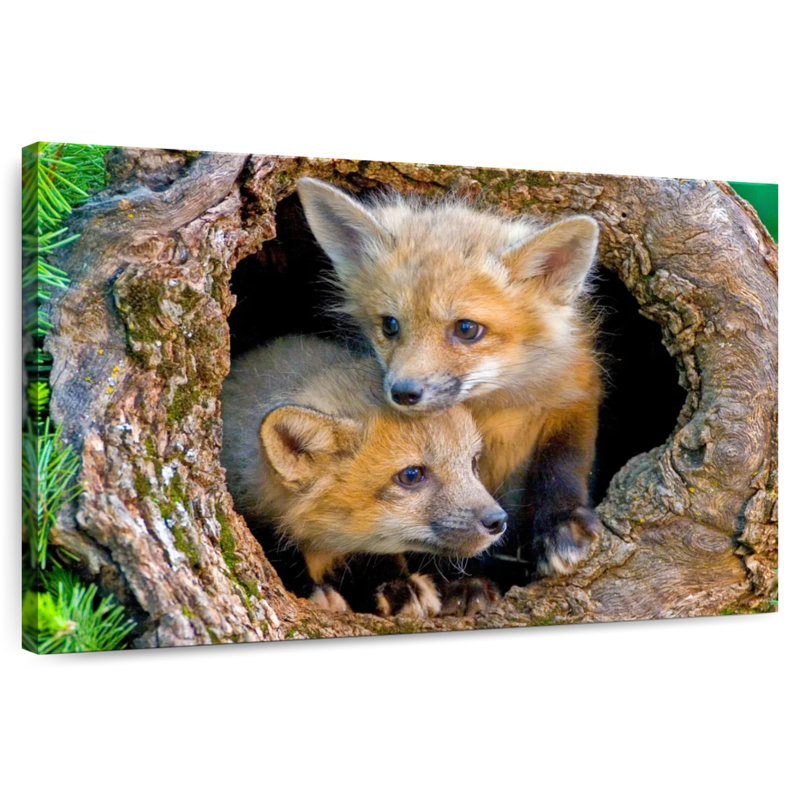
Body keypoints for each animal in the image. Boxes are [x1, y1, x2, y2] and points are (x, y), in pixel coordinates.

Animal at [296, 177, 603, 580]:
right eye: (390, 325)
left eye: (467, 329)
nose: (403, 392)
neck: (494, 411)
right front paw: (469, 579)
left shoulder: (573, 395)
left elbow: (563, 464)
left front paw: (562, 525)